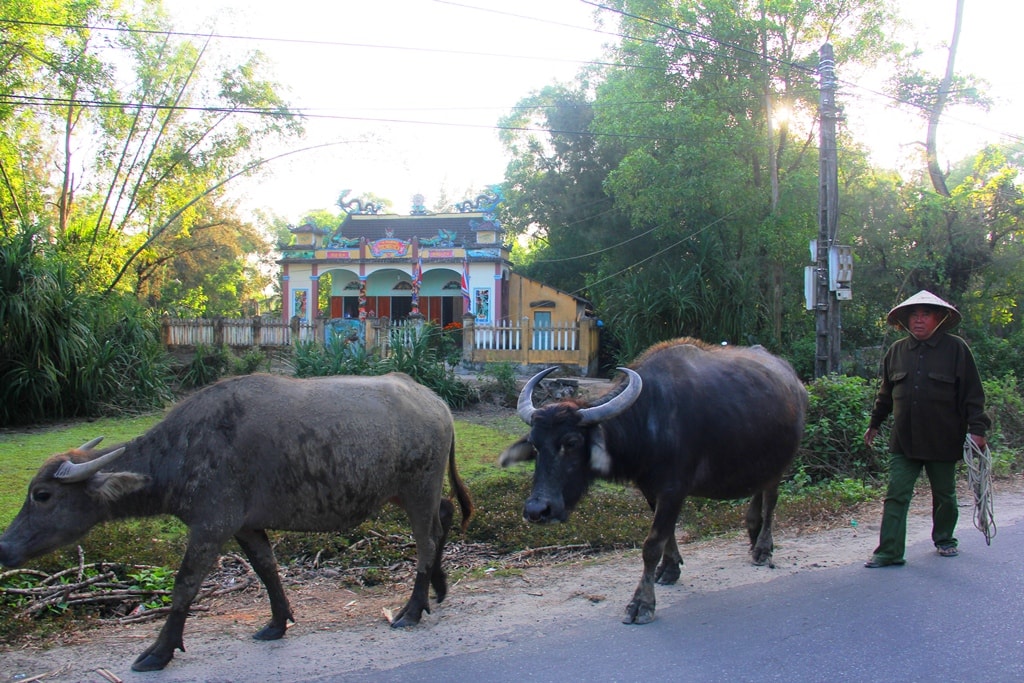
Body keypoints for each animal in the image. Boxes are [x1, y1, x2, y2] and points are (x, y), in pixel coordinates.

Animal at [0, 370, 471, 671]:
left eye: (42, 495)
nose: (5, 547)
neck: (184, 451)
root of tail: (436, 402)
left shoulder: (211, 527)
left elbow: (185, 586)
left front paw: (159, 651)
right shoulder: (244, 525)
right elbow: (267, 570)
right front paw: (277, 622)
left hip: (418, 487)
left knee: (427, 541)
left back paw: (412, 608)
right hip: (408, 492)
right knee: (445, 515)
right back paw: (439, 588)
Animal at [501, 335, 806, 626]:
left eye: (572, 442)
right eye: (536, 445)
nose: (537, 510)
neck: (650, 420)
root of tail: (795, 382)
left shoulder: (673, 490)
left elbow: (652, 544)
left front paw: (642, 604)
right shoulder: (650, 489)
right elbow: (667, 534)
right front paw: (670, 568)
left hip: (783, 464)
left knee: (771, 501)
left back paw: (763, 548)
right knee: (758, 493)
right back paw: (753, 535)